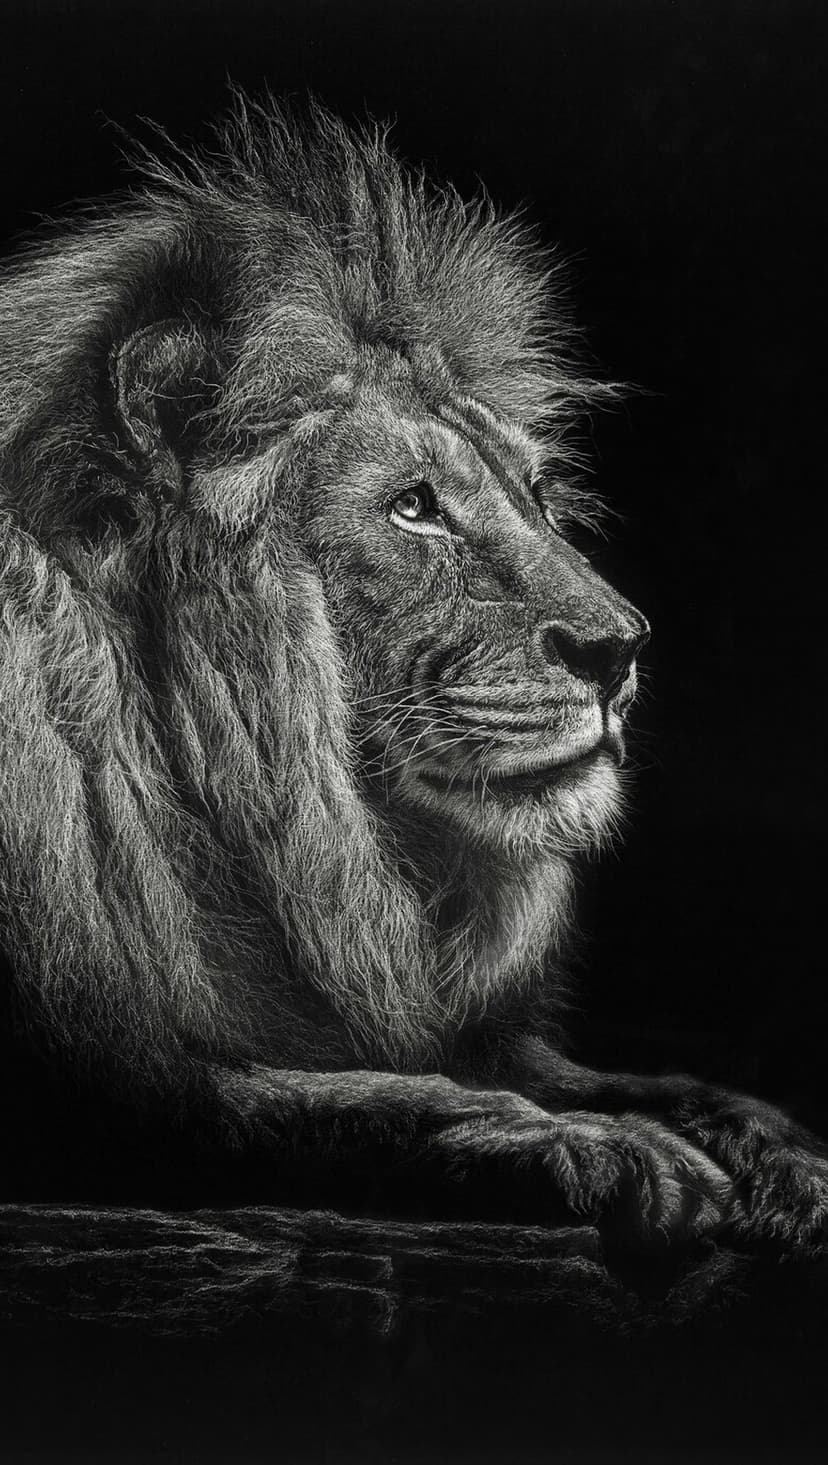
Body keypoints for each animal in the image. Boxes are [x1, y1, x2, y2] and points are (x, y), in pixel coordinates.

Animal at [0, 94, 824, 1248]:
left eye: (533, 492)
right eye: (412, 507)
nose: (620, 647)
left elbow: (633, 1078)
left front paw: (779, 1150)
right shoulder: (116, 1094)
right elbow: (362, 1100)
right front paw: (605, 1150)